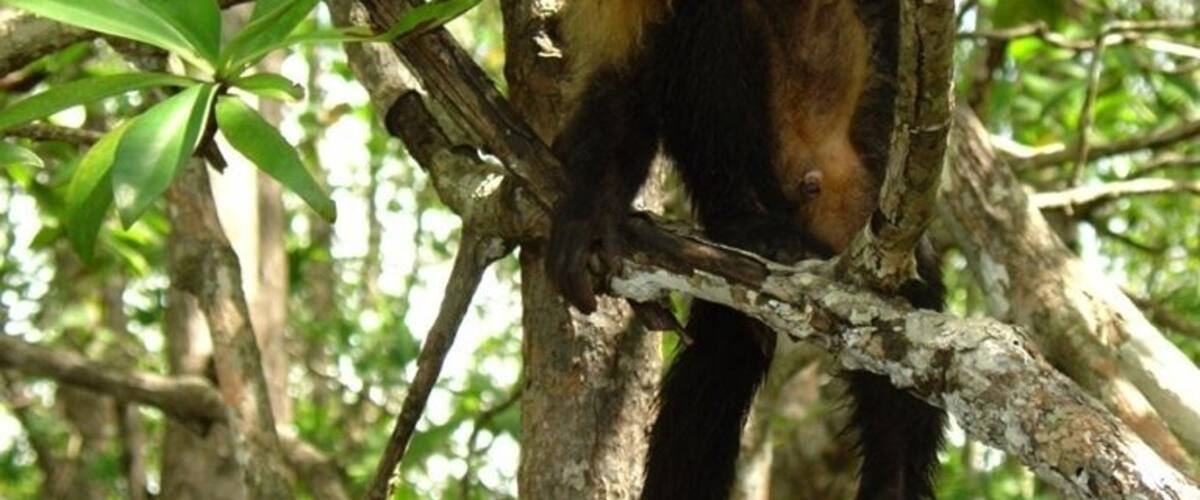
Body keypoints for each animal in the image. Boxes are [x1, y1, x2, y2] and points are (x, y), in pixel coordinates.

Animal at [545, 1, 947, 499]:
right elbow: (622, 72)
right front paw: (589, 216)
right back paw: (748, 226)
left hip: (860, 195)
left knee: (908, 310)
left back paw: (892, 479)